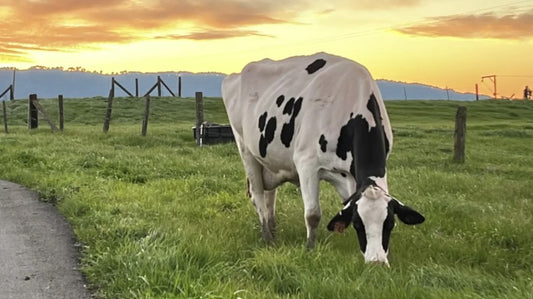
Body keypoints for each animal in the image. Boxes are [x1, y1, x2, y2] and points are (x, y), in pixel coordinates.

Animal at [220, 52, 424, 266]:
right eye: (358, 224)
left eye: (390, 223)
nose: (376, 263)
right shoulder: (306, 163)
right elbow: (313, 214)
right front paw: (310, 248)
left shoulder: (350, 176)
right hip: (245, 149)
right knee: (258, 195)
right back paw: (267, 237)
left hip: (268, 160)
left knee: (270, 196)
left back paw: (273, 229)